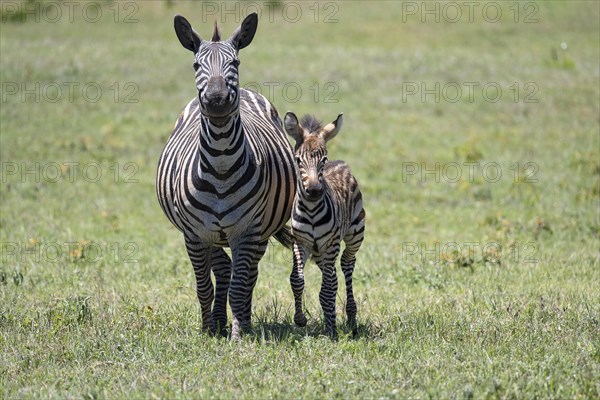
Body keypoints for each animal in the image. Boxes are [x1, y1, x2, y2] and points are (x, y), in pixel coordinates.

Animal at [155, 12, 296, 340]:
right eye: (196, 65)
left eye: (236, 63)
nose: (217, 100)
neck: (220, 166)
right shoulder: (193, 235)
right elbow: (204, 286)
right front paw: (208, 329)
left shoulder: (247, 230)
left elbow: (239, 286)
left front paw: (238, 334)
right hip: (209, 235)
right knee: (222, 270)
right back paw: (218, 321)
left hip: (256, 233)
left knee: (245, 275)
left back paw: (240, 320)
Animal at [284, 111, 366, 340]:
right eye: (297, 160)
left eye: (323, 159)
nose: (313, 191)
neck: (311, 211)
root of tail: (341, 163)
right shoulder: (300, 242)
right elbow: (297, 280)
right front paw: (300, 319)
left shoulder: (330, 244)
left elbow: (327, 290)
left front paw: (331, 330)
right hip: (319, 251)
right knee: (333, 276)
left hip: (353, 234)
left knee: (347, 264)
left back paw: (351, 317)